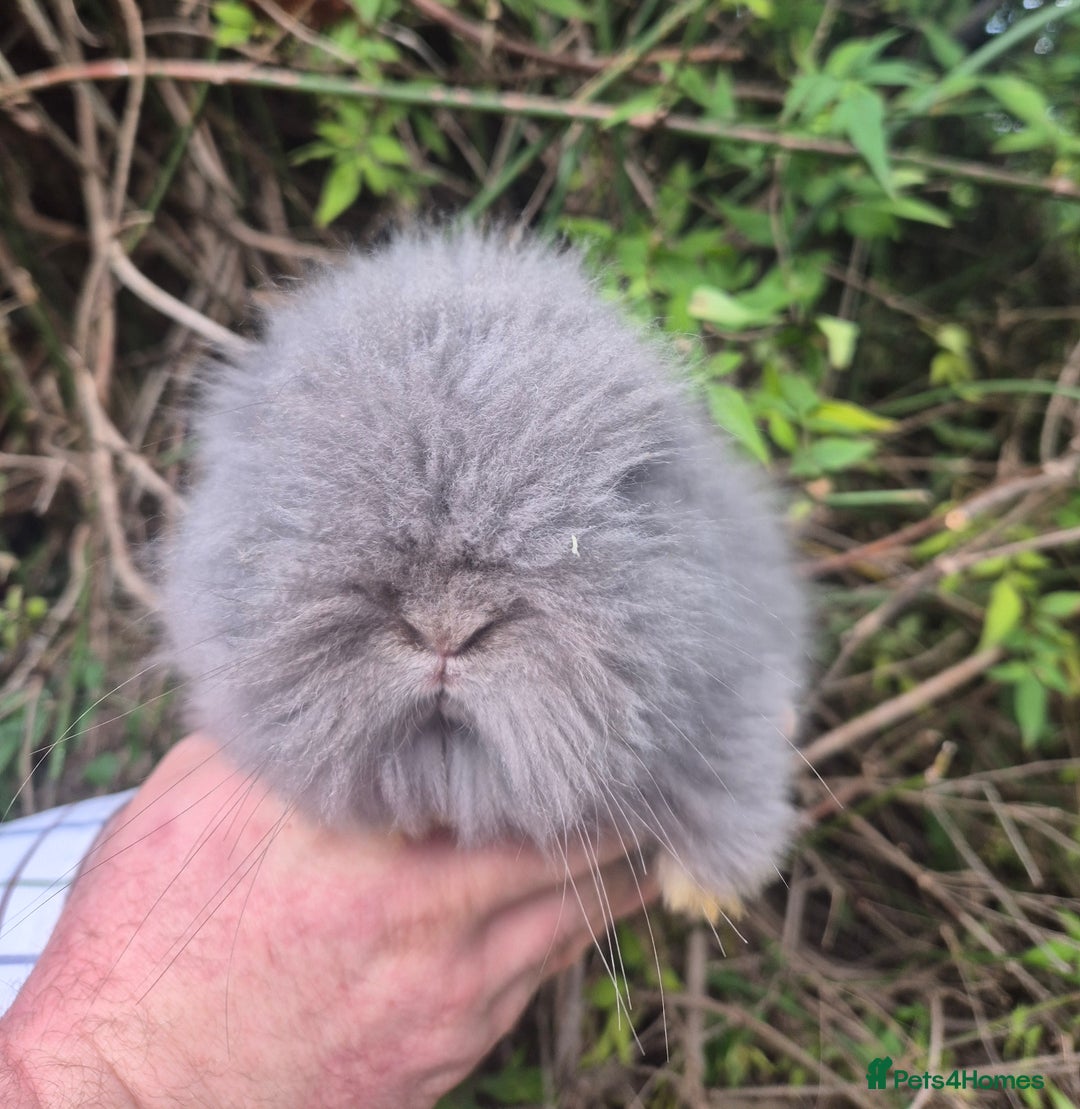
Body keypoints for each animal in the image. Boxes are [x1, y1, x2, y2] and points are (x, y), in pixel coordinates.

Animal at [160, 226, 807, 920]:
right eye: (300, 488)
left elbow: (734, 770)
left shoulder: (743, 681)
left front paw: (704, 893)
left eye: (625, 487)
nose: (447, 634)